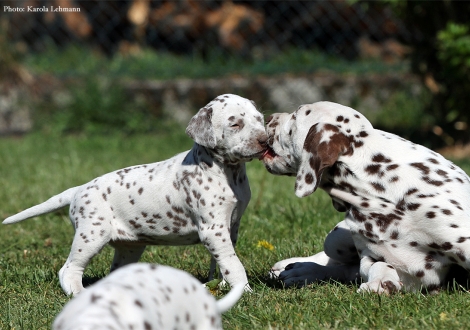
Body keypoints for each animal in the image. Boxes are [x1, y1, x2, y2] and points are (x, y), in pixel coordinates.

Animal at [4, 94, 268, 296]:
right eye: (235, 124)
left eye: (260, 120)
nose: (265, 141)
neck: (228, 171)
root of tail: (79, 189)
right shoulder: (213, 229)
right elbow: (233, 263)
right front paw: (244, 292)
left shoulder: (231, 226)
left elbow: (224, 261)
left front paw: (223, 286)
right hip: (91, 235)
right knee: (69, 269)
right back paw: (77, 293)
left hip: (129, 248)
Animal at [262, 101, 470, 294]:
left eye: (295, 116)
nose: (268, 117)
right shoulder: (384, 261)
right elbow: (377, 265)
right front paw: (381, 281)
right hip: (335, 239)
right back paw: (299, 268)